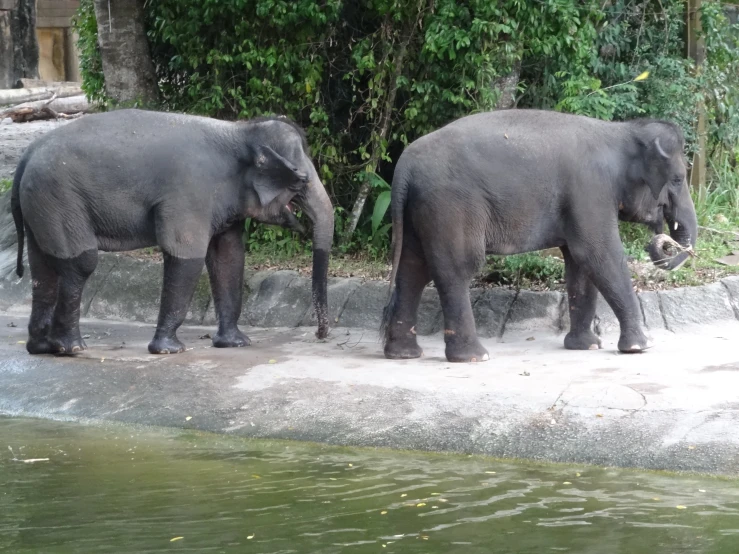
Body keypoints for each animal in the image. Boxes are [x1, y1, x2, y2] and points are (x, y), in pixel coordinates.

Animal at [10, 108, 336, 354]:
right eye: (300, 181)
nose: (321, 334)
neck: (239, 131)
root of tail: (26, 155)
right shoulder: (189, 194)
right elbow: (187, 254)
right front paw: (169, 350)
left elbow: (229, 257)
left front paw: (236, 344)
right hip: (60, 197)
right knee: (80, 263)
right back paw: (71, 348)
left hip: (42, 204)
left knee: (42, 267)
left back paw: (41, 347)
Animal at [382, 110, 700, 364]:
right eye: (678, 179)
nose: (663, 243)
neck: (622, 131)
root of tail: (404, 167)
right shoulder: (590, 191)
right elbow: (598, 254)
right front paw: (641, 347)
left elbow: (580, 264)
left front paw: (586, 346)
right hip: (450, 206)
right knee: (456, 269)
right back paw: (474, 357)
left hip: (419, 210)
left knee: (413, 270)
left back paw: (403, 354)